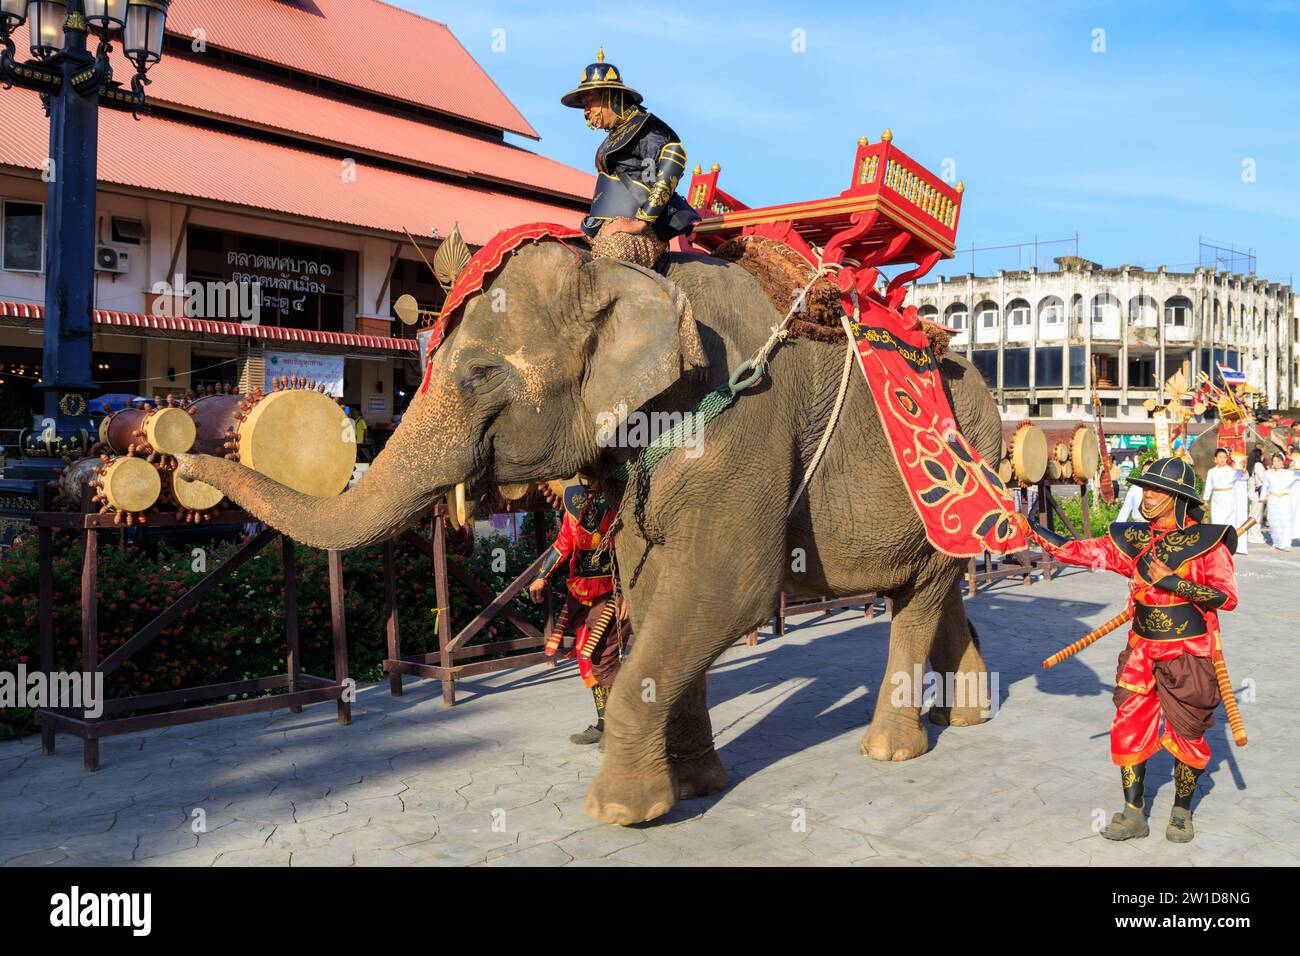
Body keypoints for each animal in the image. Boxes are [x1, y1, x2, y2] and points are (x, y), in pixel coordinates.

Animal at [178, 243, 998, 827]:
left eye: (480, 373)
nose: (186, 458)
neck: (627, 273)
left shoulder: (741, 424)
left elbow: (726, 586)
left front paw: (621, 811)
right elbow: (652, 587)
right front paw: (694, 785)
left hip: (958, 475)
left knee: (918, 598)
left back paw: (891, 748)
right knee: (939, 590)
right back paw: (965, 714)